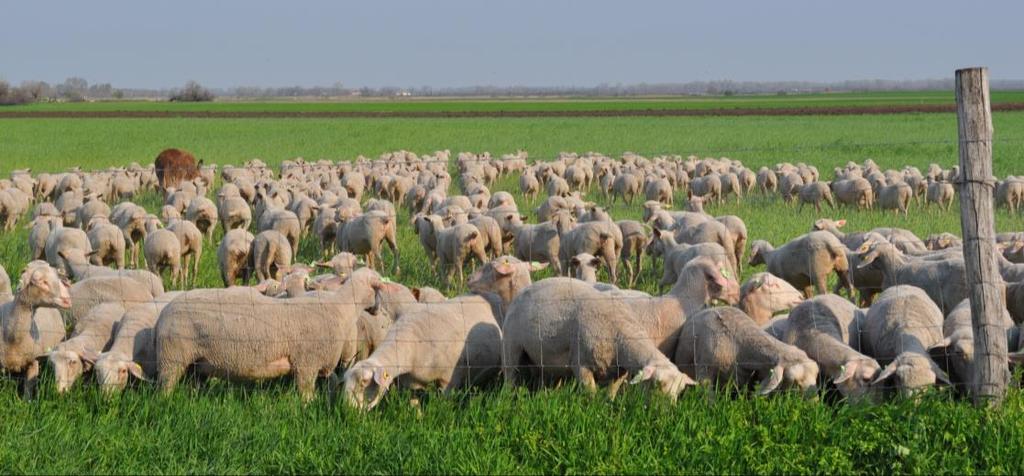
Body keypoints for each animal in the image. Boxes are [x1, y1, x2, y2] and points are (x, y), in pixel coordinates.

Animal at [153, 266, 385, 401]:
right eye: (379, 287)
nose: (377, 311)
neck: (341, 308)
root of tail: (163, 314)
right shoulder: (306, 363)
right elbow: (306, 394)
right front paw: (308, 408)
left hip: (197, 363)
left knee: (195, 384)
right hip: (172, 357)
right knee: (166, 386)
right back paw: (166, 403)